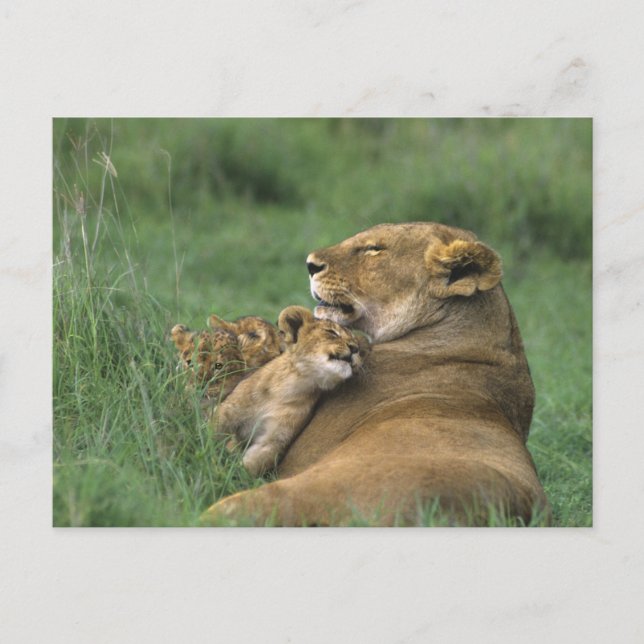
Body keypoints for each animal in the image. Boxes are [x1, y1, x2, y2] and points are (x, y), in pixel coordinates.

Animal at [214, 305, 368, 478]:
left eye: (358, 345)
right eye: (332, 333)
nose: (355, 349)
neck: (291, 385)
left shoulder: (274, 440)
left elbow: (251, 465)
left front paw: (230, 475)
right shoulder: (227, 412)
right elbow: (209, 434)